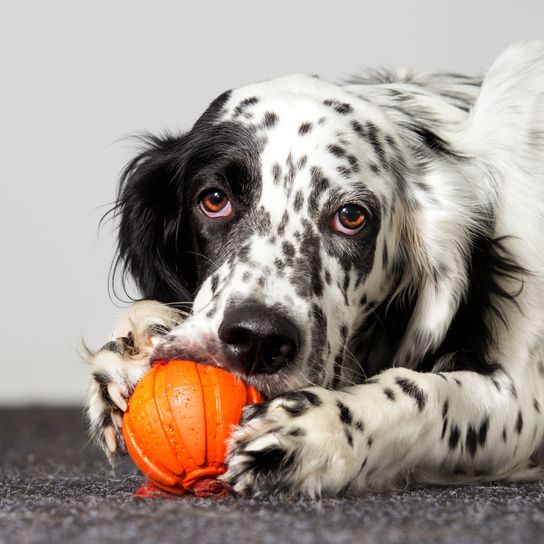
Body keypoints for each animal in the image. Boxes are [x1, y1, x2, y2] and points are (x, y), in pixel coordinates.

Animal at [85, 42, 544, 498]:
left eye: (351, 216)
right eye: (214, 199)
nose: (258, 339)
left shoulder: (523, 401)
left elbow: (424, 391)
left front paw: (323, 429)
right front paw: (136, 341)